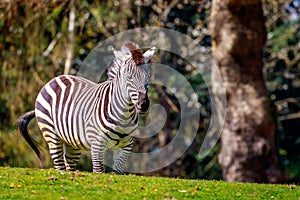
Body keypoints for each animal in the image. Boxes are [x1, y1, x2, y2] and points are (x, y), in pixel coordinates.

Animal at [17, 41, 156, 173]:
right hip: (51, 133)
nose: (143, 104)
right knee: (59, 164)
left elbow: (117, 172)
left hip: (72, 141)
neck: (123, 116)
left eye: (148, 76)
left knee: (68, 164)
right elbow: (98, 171)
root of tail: (57, 78)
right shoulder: (97, 145)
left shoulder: (125, 147)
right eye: (129, 77)